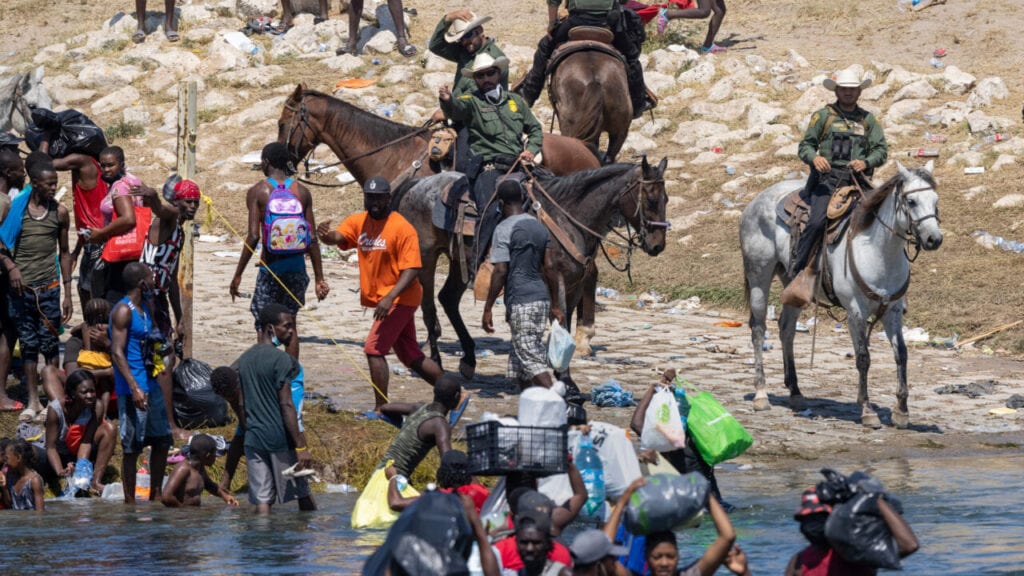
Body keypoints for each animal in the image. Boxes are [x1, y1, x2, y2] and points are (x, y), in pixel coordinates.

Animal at [276, 83, 602, 377]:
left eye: (282, 123)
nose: (284, 162)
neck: (396, 157)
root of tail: (588, 151)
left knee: (589, 272)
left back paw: (583, 335)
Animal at [737, 161, 942, 426]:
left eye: (935, 200)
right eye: (912, 201)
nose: (934, 239)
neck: (878, 252)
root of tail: (755, 201)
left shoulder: (893, 311)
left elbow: (901, 354)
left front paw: (901, 411)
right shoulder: (856, 311)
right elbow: (863, 357)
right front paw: (867, 410)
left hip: (792, 285)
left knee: (787, 330)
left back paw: (795, 392)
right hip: (759, 276)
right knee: (759, 330)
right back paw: (761, 395)